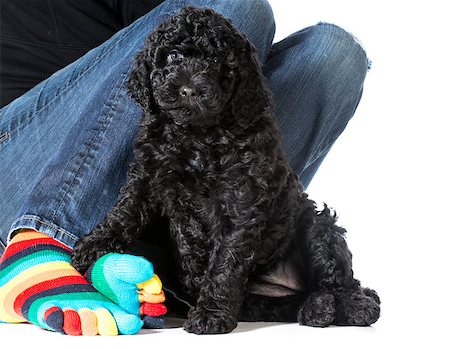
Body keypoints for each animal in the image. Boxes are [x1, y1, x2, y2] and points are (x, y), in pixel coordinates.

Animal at [73, 6, 380, 334]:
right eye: (172, 56)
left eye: (218, 62)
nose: (189, 90)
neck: (197, 134)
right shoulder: (148, 174)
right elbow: (124, 213)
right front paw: (90, 248)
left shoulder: (240, 199)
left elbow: (225, 262)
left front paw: (210, 314)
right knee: (277, 303)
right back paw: (316, 308)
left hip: (317, 228)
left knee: (345, 283)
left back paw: (354, 308)